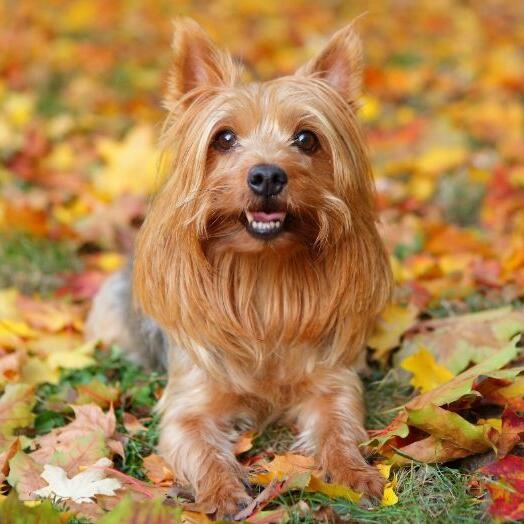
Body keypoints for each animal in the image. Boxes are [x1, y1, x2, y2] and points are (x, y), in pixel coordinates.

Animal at [86, 18, 390, 516]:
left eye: (307, 139)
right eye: (224, 138)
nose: (266, 175)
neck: (261, 274)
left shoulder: (331, 381)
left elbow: (338, 426)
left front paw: (355, 472)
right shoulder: (189, 403)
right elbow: (199, 444)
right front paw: (223, 491)